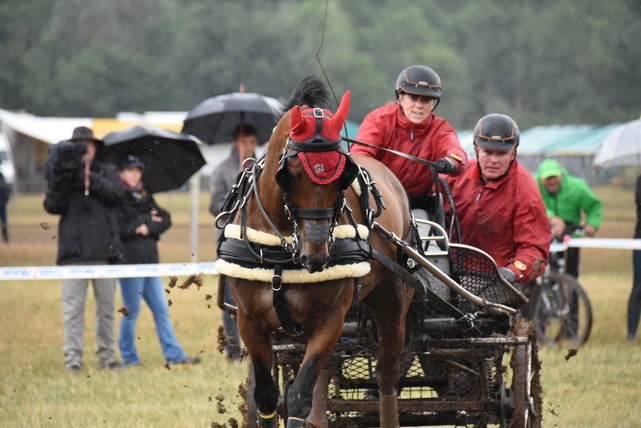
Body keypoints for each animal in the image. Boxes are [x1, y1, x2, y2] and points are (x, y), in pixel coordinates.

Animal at [215, 76, 416, 428]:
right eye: (290, 175)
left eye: (343, 178)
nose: (317, 256)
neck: (283, 252)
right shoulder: (250, 321)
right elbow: (267, 395)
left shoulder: (329, 321)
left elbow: (299, 397)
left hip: (392, 305)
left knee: (386, 377)